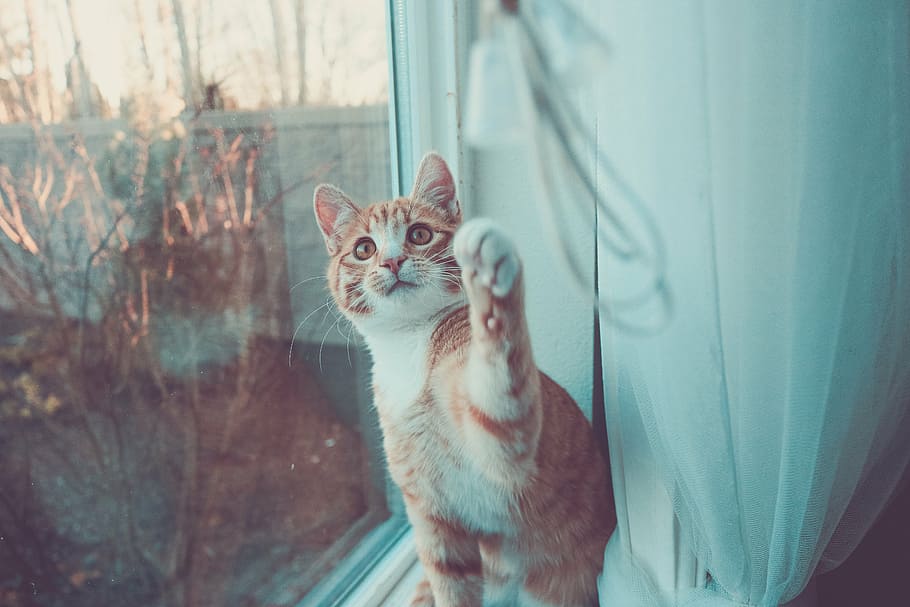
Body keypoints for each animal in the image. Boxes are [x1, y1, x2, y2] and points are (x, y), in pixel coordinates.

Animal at [316, 153, 620, 607]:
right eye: (364, 249)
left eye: (419, 234)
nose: (391, 261)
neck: (408, 346)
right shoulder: (432, 519)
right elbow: (451, 586)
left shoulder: (507, 444)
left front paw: (491, 272)